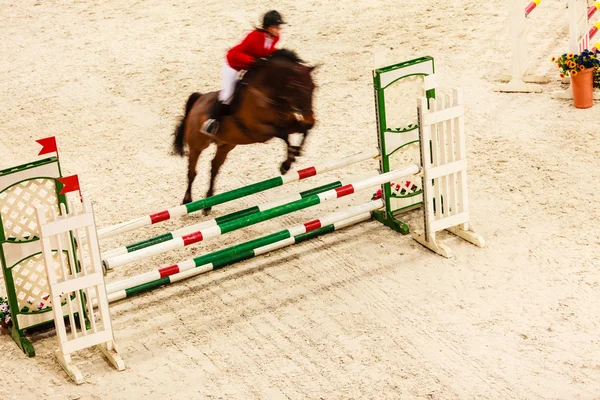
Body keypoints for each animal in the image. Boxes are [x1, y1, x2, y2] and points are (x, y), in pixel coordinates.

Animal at [171, 48, 316, 214]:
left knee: (214, 168)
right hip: (197, 145)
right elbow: (284, 135)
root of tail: (198, 100)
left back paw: (208, 204)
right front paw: (286, 163)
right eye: (298, 87)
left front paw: (295, 154)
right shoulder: (260, 131)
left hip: (226, 145)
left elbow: (303, 131)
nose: (310, 119)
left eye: (313, 88)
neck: (268, 93)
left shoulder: (291, 124)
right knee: (192, 172)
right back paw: (187, 201)